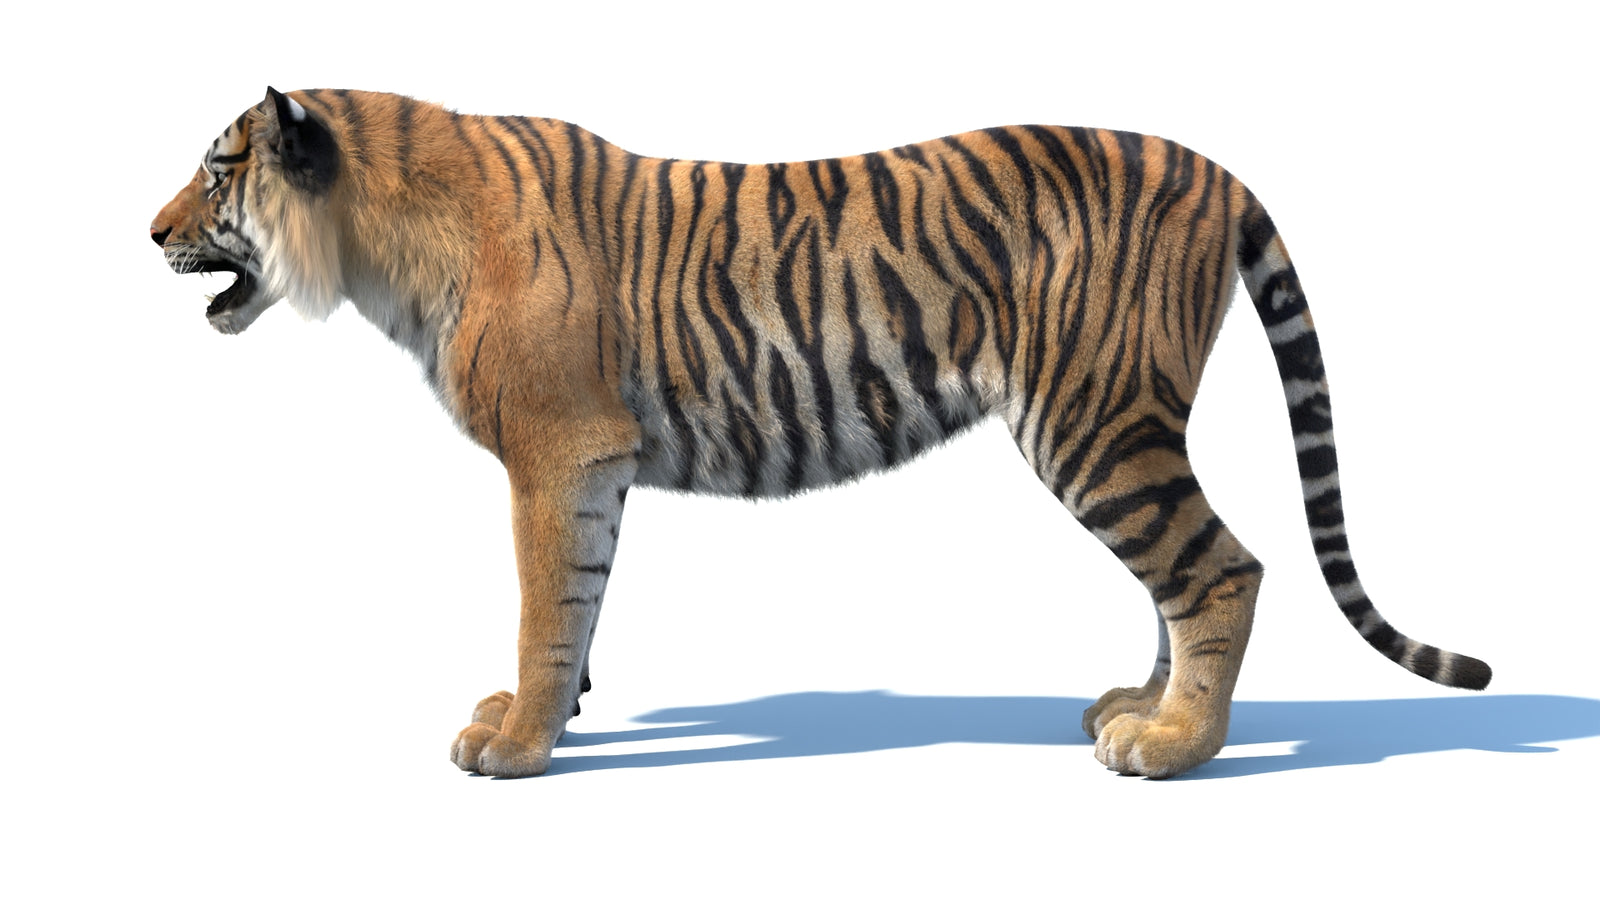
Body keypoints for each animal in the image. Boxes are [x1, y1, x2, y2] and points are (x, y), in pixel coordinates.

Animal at [152, 87, 1491, 779]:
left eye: (218, 172)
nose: (148, 230)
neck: (376, 243)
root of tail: (1216, 167)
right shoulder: (598, 463)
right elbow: (583, 598)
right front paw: (556, 713)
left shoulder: (556, 450)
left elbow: (543, 602)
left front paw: (519, 743)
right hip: (1125, 426)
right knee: (1179, 571)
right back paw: (1132, 706)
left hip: (1094, 419)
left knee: (1221, 567)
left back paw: (1171, 746)